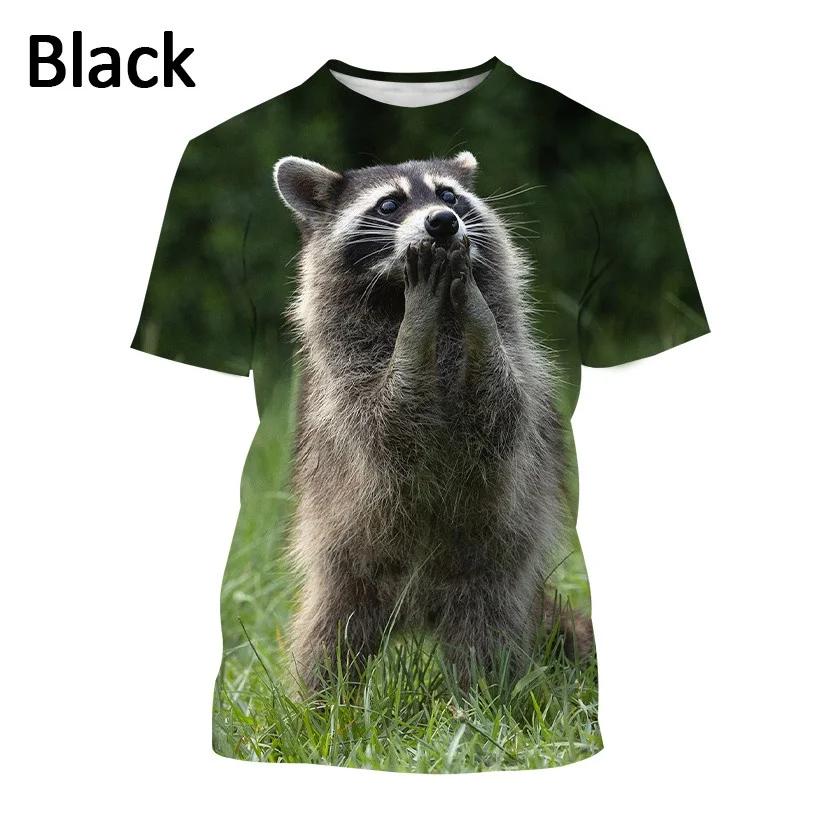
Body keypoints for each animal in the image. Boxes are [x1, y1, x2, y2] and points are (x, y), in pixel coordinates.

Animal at [274, 151, 591, 688]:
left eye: (449, 195)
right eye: (389, 204)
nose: (443, 222)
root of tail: (418, 611)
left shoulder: (520, 371)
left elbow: (502, 410)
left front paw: (477, 311)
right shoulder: (347, 382)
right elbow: (387, 423)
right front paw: (415, 327)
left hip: (490, 569)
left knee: (485, 636)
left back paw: (482, 698)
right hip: (348, 562)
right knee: (328, 637)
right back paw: (320, 702)